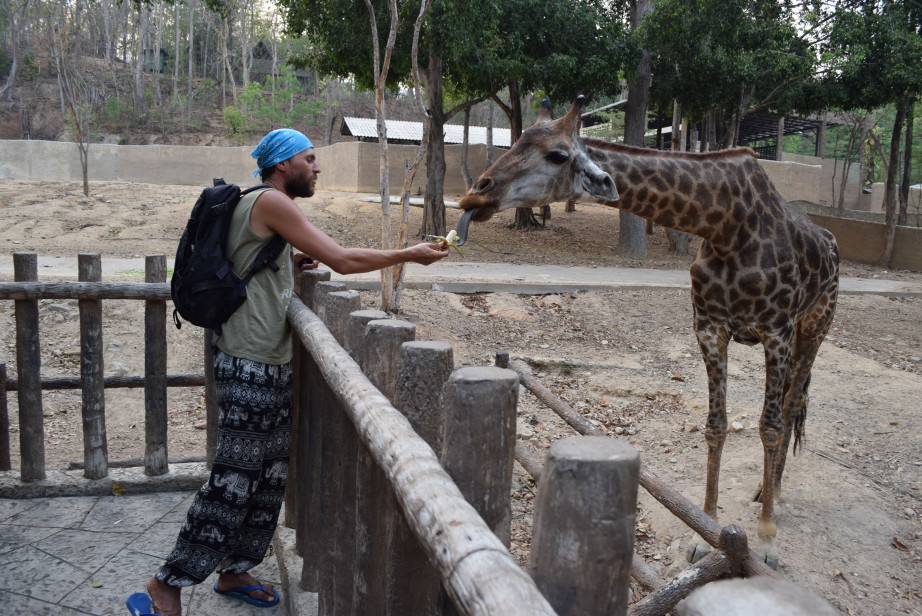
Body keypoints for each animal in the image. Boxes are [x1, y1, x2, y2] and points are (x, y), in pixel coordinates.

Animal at [456, 94, 836, 564]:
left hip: (814, 325)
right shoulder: (709, 328)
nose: (477, 192)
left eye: (557, 154)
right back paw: (764, 490)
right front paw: (705, 533)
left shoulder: (775, 331)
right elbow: (716, 425)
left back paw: (776, 495)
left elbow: (769, 426)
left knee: (792, 404)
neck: (725, 224)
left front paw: (765, 540)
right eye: (520, 138)